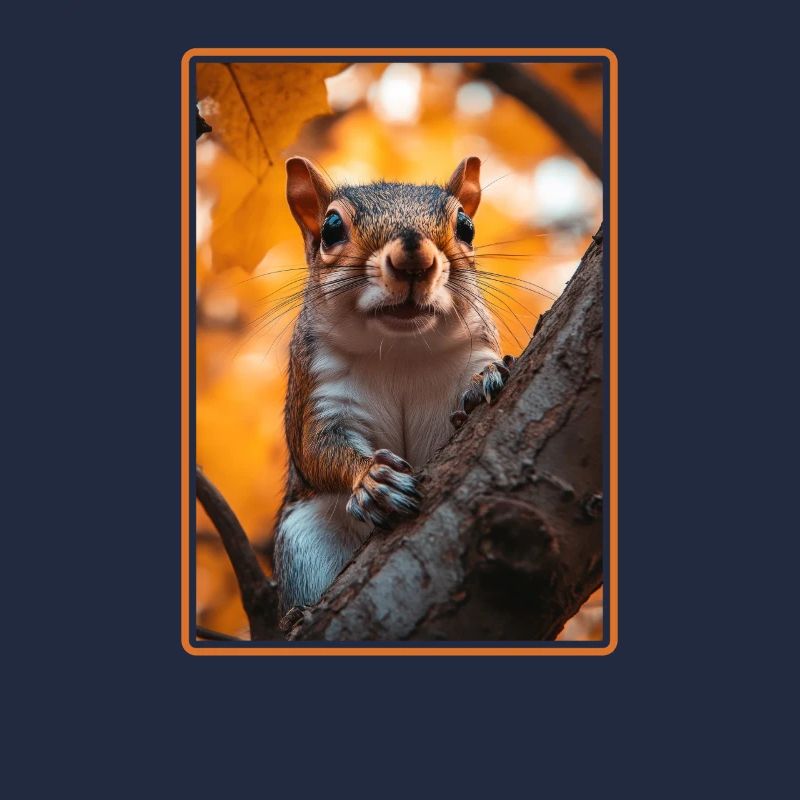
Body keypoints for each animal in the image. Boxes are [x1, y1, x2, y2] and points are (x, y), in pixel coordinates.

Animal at [273, 156, 514, 616]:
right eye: (331, 227)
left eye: (466, 226)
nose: (413, 259)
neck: (402, 349)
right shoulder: (321, 392)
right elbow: (316, 449)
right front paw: (373, 481)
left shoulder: (473, 351)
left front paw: (486, 380)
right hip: (304, 541)